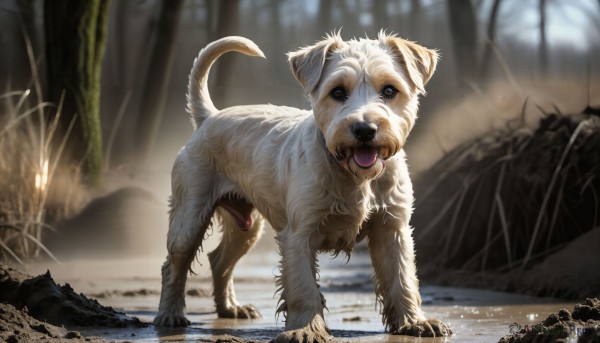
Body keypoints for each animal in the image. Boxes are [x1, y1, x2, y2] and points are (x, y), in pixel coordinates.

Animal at [152, 31, 452, 342]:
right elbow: (304, 288)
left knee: (219, 260)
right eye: (338, 92)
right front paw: (306, 329)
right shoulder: (299, 235)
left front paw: (414, 322)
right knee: (173, 266)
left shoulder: (392, 230)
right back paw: (170, 314)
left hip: (245, 227)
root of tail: (209, 117)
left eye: (390, 90)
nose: (364, 129)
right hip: (189, 217)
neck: (356, 176)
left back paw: (231, 308)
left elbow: (402, 279)